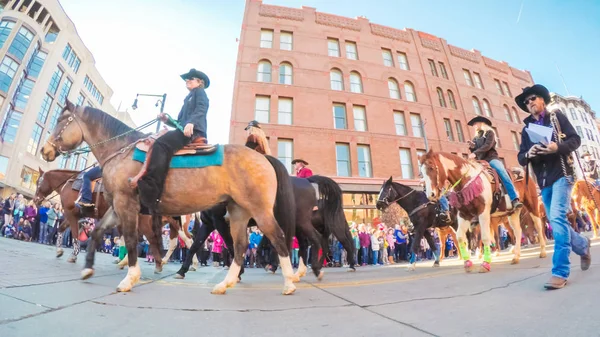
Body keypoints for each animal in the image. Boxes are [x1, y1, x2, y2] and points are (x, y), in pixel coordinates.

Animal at [39, 100, 298, 294]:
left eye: (61, 120)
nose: (45, 150)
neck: (121, 151)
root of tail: (263, 158)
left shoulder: (126, 205)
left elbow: (130, 239)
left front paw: (130, 277)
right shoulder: (117, 207)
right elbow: (97, 232)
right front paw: (88, 268)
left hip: (259, 210)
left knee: (277, 237)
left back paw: (289, 281)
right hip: (237, 212)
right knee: (240, 245)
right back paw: (225, 283)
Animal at [420, 151, 548, 272]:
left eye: (431, 167)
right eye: (421, 172)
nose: (431, 195)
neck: (467, 181)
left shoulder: (483, 213)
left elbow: (486, 237)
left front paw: (485, 264)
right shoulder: (464, 215)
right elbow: (461, 237)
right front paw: (467, 263)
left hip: (532, 205)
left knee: (538, 226)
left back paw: (542, 251)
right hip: (512, 213)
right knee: (517, 231)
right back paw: (516, 257)